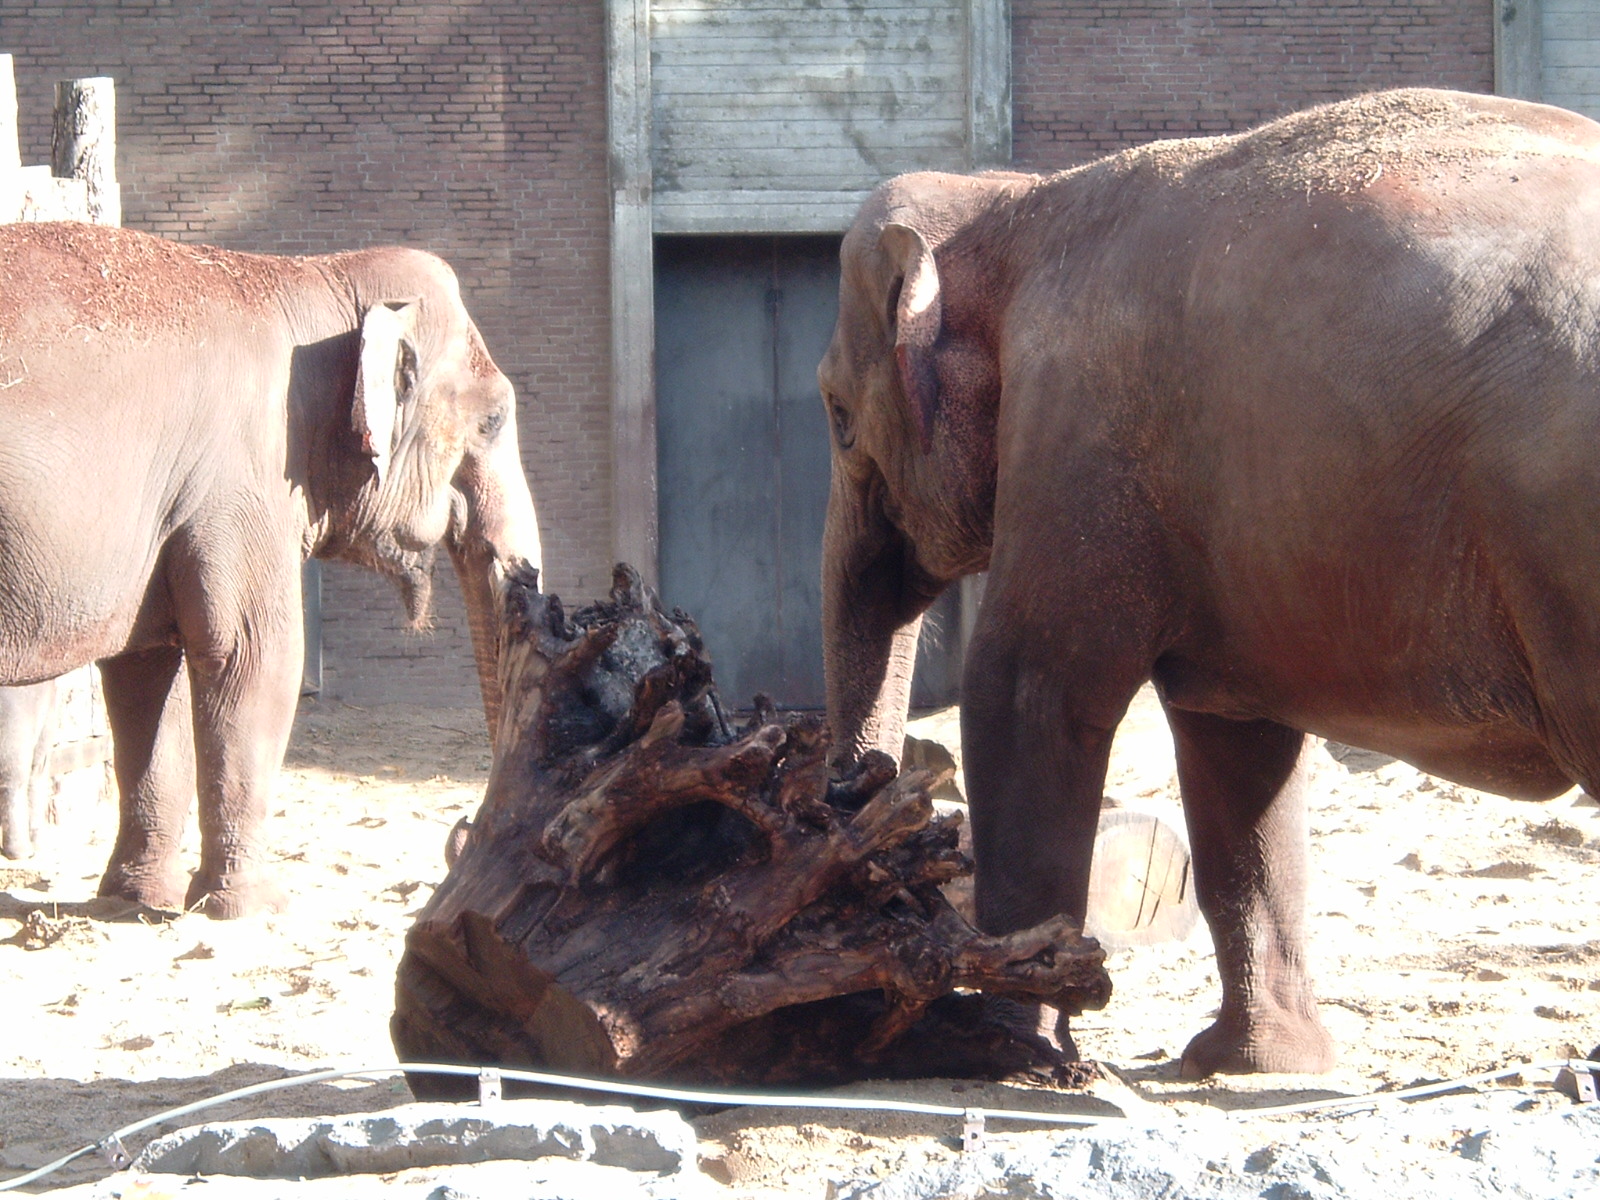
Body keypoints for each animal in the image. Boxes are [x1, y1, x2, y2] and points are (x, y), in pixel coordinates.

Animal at [817, 88, 1600, 1076]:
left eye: (837, 417)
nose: (864, 798)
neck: (1019, 201)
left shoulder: (1082, 428)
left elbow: (1027, 691)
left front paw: (1011, 1052)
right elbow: (1236, 744)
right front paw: (1253, 1064)